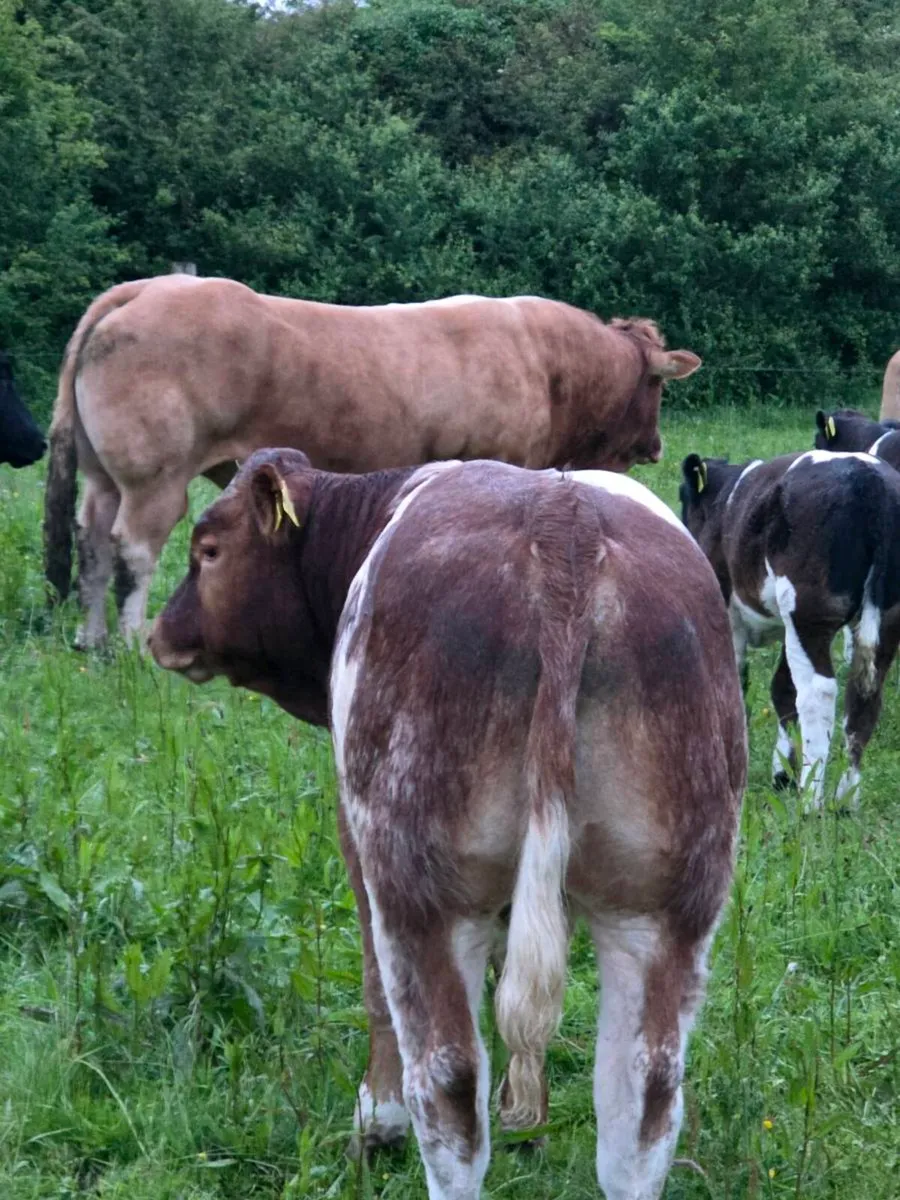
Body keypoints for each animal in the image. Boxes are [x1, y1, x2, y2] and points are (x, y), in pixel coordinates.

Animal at [42, 274, 702, 649]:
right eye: (656, 385)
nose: (657, 445)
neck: (544, 364)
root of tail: (147, 288)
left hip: (103, 477)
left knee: (92, 544)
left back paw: (89, 639)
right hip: (155, 476)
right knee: (131, 550)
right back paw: (130, 641)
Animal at [149, 448, 745, 1200]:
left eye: (208, 549)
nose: (160, 635)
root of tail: (565, 524)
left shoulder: (357, 838)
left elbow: (376, 988)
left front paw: (376, 1126)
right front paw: (531, 1124)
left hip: (420, 882)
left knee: (448, 1083)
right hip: (666, 898)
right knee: (642, 1097)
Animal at [681, 448, 900, 809]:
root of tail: (870, 479)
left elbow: (737, 685)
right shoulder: (786, 627)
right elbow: (781, 689)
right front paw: (782, 773)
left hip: (809, 614)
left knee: (818, 693)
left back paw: (811, 800)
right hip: (884, 620)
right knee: (863, 696)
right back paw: (845, 800)